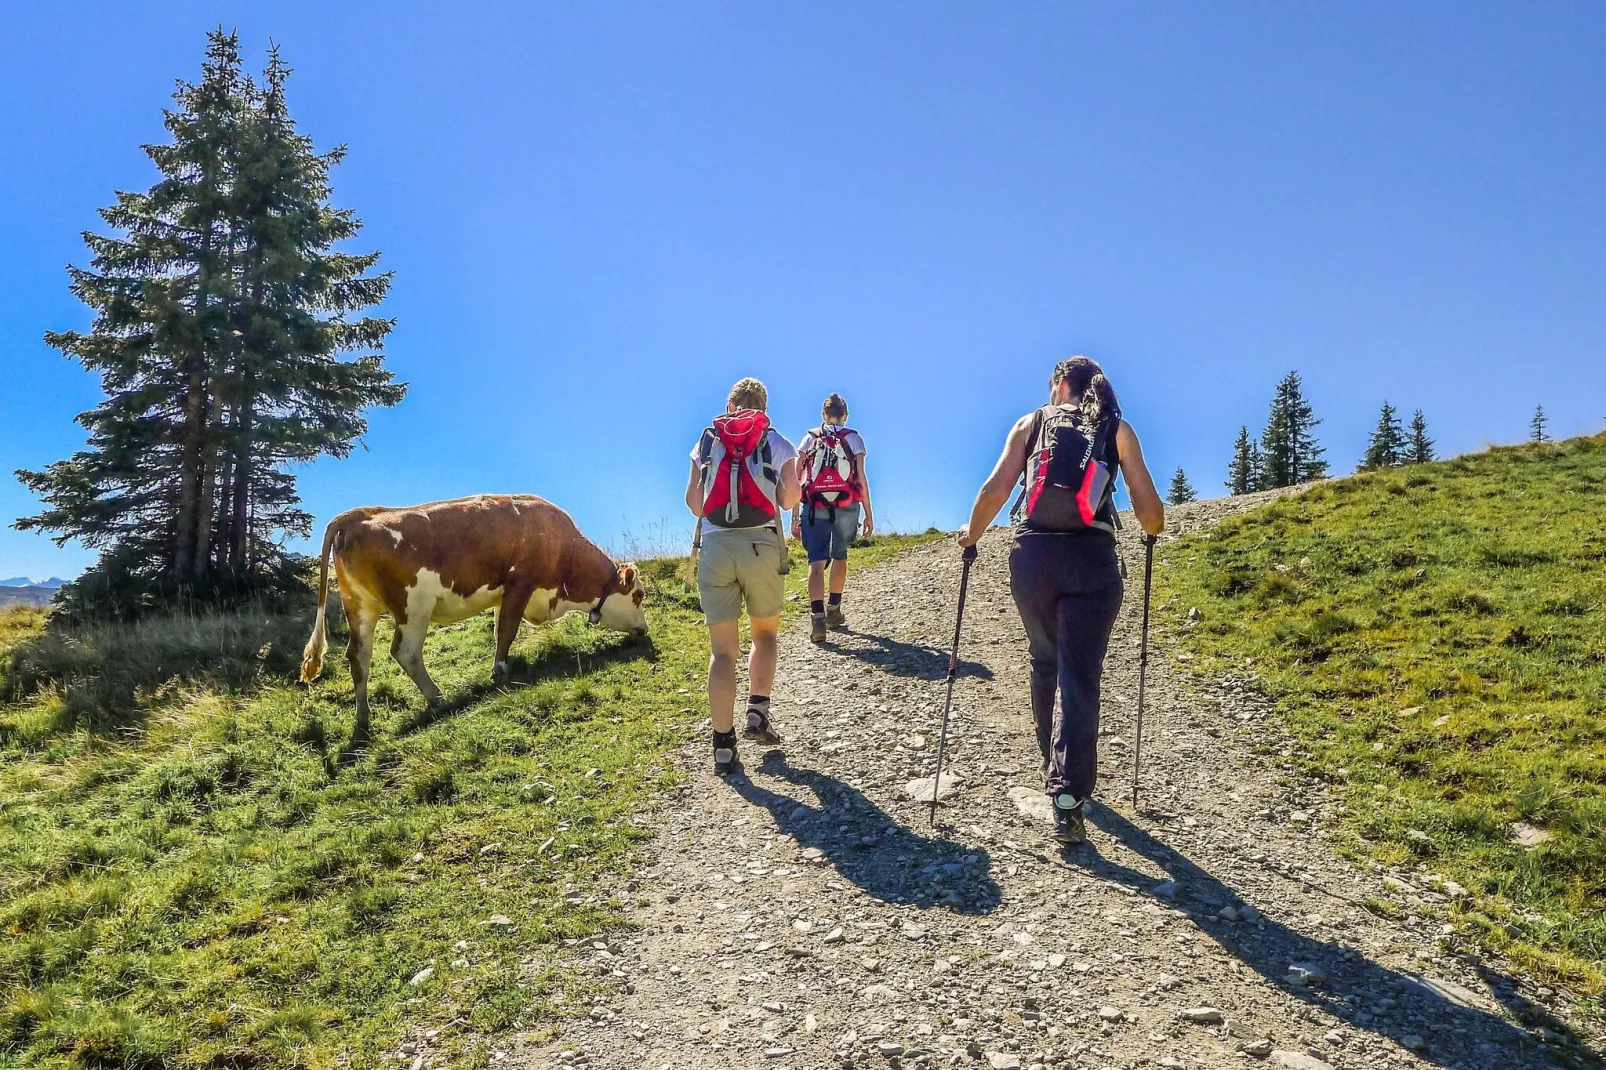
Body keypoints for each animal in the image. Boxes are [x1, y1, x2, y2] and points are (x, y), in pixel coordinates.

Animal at [298, 494, 648, 726]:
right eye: (640, 595)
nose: (644, 630)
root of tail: (358, 514)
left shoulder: (505, 594)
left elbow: (498, 629)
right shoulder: (520, 583)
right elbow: (507, 630)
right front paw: (501, 672)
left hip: (359, 607)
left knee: (358, 657)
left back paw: (363, 716)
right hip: (414, 606)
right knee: (405, 651)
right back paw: (437, 697)